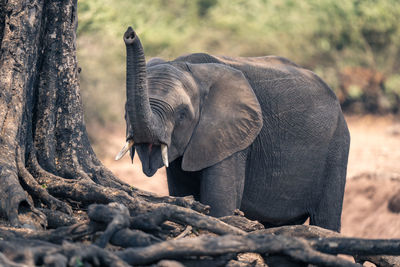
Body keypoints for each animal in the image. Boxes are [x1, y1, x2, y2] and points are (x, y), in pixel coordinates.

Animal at [116, 26, 350, 232]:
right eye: (125, 111)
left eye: (182, 114)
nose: (129, 34)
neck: (187, 67)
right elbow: (181, 194)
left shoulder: (233, 139)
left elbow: (220, 205)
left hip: (337, 146)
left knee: (325, 220)